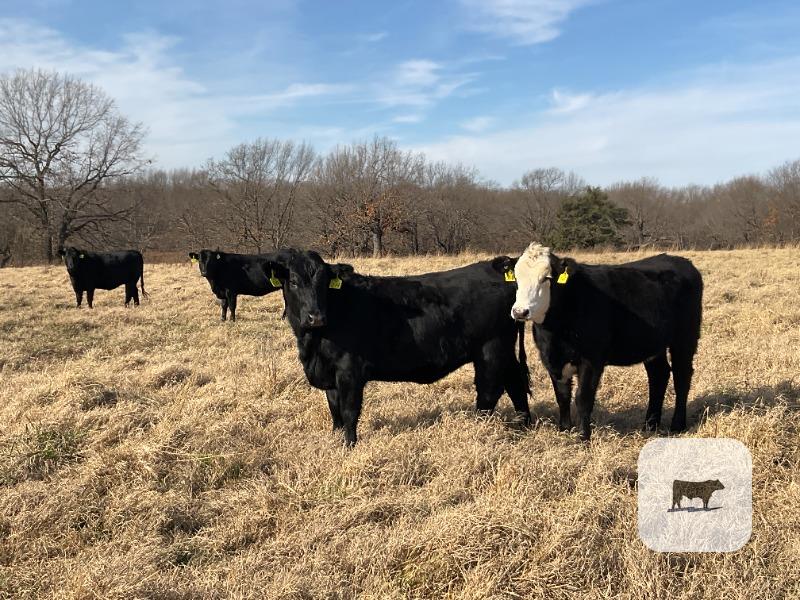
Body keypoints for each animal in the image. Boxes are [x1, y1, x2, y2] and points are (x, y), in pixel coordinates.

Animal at [264, 249, 531, 447]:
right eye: (294, 282)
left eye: (323, 283)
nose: (315, 317)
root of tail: (497, 266)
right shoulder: (330, 372)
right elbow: (335, 411)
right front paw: (335, 439)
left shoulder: (349, 371)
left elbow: (349, 411)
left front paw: (349, 446)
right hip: (503, 352)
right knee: (516, 384)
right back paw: (524, 426)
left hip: (491, 351)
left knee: (489, 393)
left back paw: (478, 430)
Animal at [507, 243, 703, 441]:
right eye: (516, 279)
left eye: (546, 278)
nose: (520, 311)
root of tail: (681, 261)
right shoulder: (552, 359)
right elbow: (562, 396)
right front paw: (564, 430)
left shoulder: (591, 359)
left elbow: (583, 398)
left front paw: (583, 437)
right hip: (653, 343)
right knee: (659, 375)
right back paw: (650, 425)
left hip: (685, 337)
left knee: (682, 376)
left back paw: (677, 425)